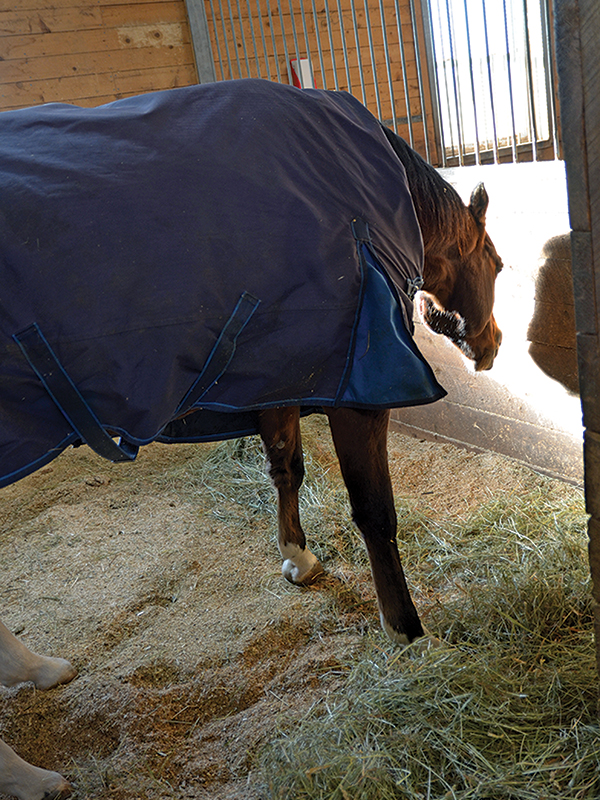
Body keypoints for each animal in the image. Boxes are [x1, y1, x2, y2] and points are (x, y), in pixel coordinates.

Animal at [0, 80, 502, 800]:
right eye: (497, 264)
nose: (490, 349)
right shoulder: (356, 390)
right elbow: (374, 514)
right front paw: (406, 631)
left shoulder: (278, 366)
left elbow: (286, 465)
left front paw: (297, 557)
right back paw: (32, 775)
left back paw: (41, 674)